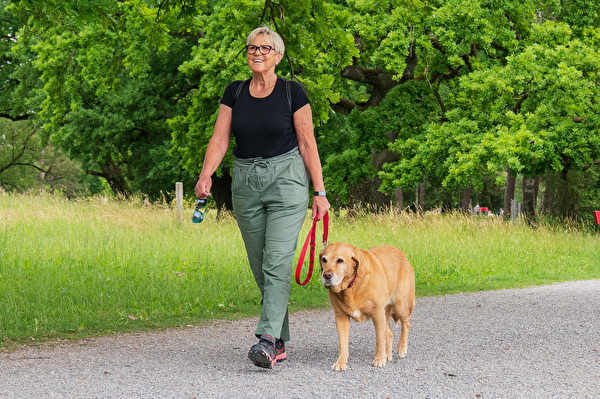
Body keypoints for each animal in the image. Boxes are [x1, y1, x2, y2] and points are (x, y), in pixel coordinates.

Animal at [322, 242, 414, 374]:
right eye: (324, 259)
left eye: (340, 260)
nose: (326, 275)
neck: (351, 285)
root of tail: (401, 253)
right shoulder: (341, 317)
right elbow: (342, 343)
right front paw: (341, 363)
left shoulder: (377, 315)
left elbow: (379, 340)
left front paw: (379, 359)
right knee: (389, 333)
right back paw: (387, 355)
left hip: (400, 305)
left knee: (406, 324)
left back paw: (401, 348)